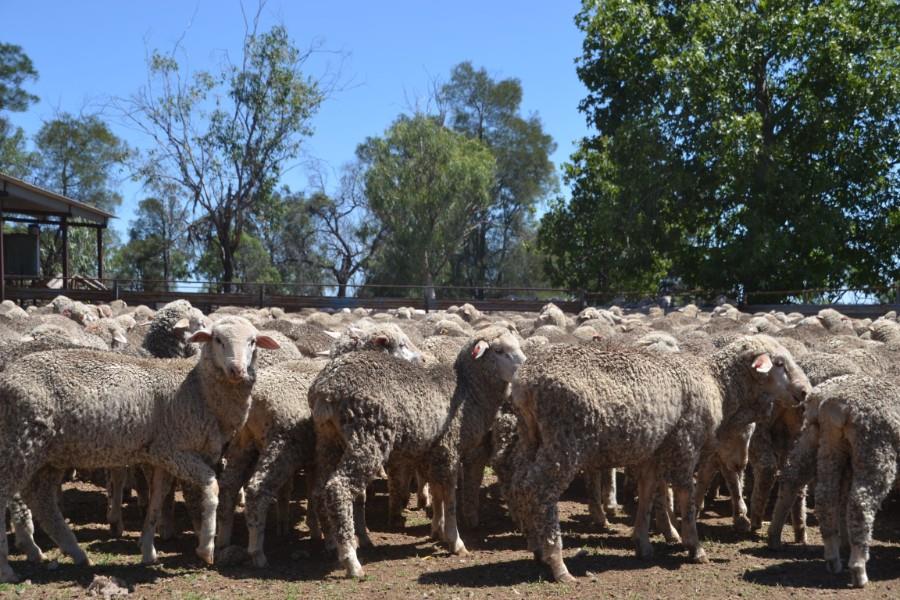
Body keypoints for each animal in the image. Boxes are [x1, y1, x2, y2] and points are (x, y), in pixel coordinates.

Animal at [0, 317, 279, 583]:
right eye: (218, 340)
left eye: (252, 341)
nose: (237, 370)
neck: (198, 387)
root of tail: (7, 376)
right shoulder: (175, 451)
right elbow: (212, 487)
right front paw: (206, 548)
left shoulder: (162, 455)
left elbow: (157, 498)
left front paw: (148, 550)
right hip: (21, 442)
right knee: (9, 496)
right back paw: (9, 569)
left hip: (50, 454)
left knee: (42, 500)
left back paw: (75, 553)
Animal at [308, 326, 525, 578]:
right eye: (499, 350)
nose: (526, 368)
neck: (468, 391)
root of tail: (326, 389)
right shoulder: (449, 449)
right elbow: (450, 497)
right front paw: (455, 540)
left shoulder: (432, 451)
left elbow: (438, 492)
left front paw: (437, 530)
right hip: (368, 437)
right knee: (338, 488)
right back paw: (351, 560)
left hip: (328, 440)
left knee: (319, 490)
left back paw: (332, 543)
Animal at [501, 335, 810, 583]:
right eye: (779, 363)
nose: (805, 391)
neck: (718, 384)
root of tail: (525, 381)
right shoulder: (686, 444)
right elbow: (686, 495)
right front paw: (694, 546)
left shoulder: (654, 451)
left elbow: (648, 492)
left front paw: (643, 543)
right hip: (565, 440)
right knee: (539, 489)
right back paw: (557, 563)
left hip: (531, 436)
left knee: (520, 484)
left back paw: (536, 547)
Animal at [812, 373, 900, 588]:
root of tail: (841, 406)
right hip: (875, 449)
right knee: (860, 505)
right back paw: (859, 568)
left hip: (830, 446)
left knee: (825, 498)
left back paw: (833, 558)